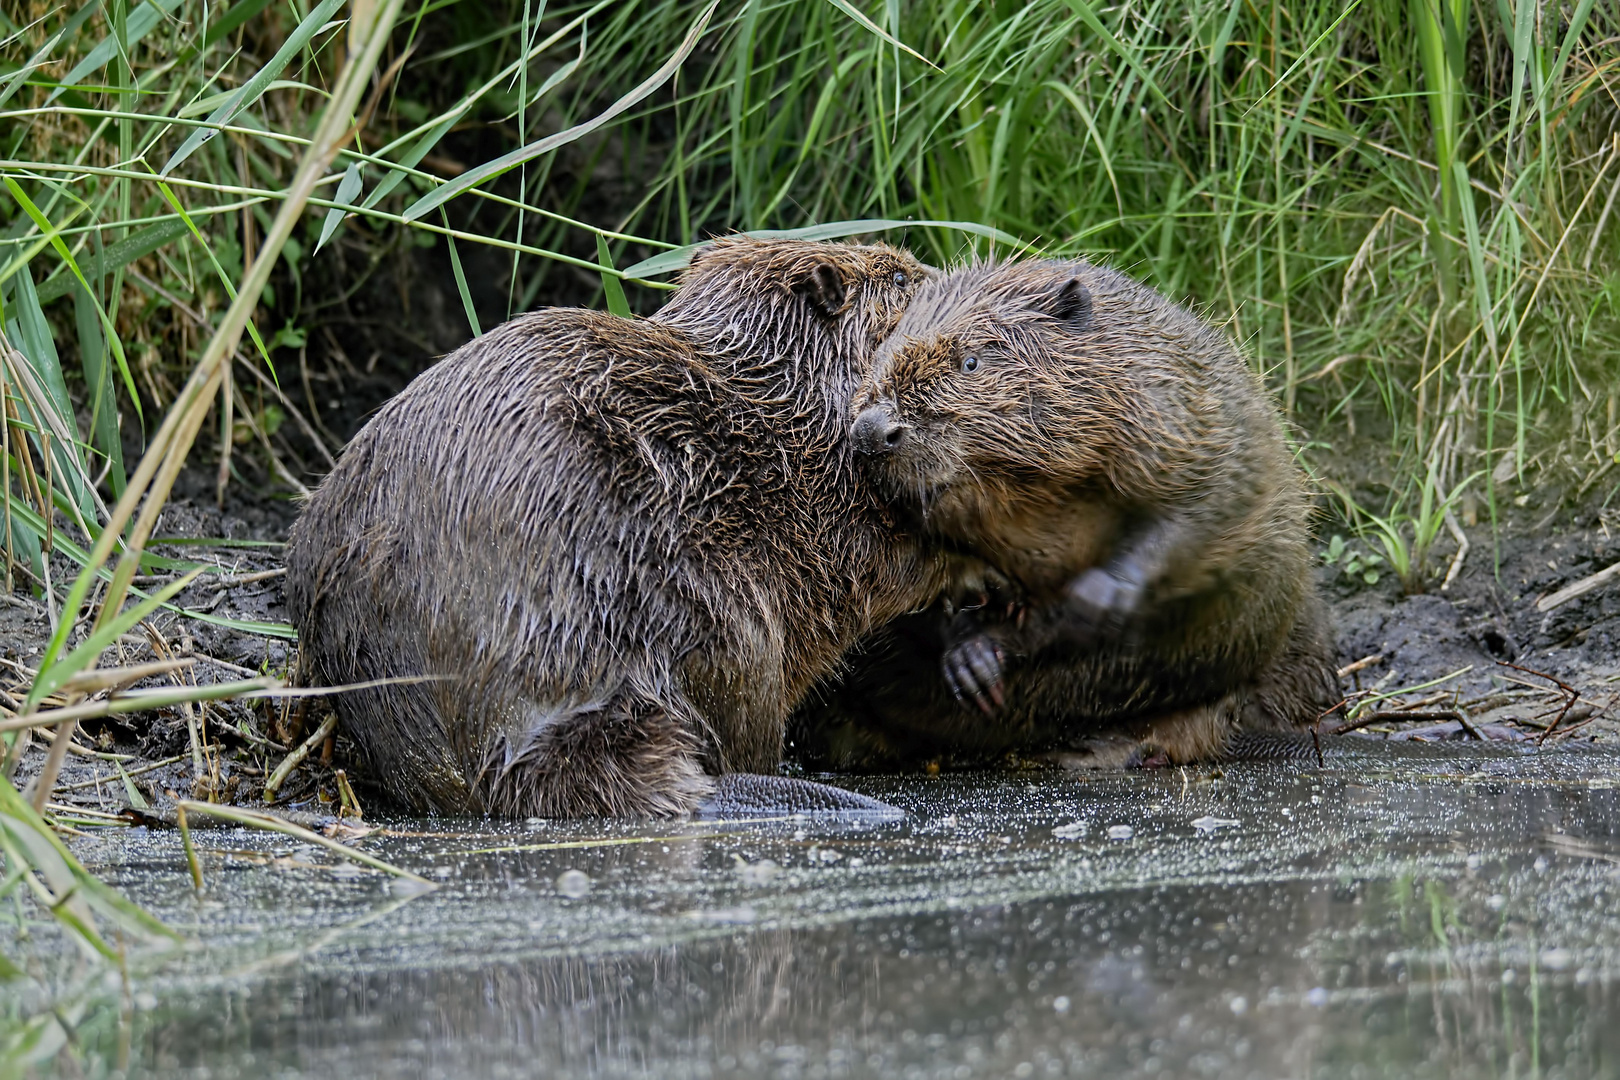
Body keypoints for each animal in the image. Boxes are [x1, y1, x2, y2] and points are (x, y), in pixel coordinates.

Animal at [286, 236, 946, 819]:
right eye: (899, 278)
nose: (930, 269)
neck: (780, 384)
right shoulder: (821, 485)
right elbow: (874, 561)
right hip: (716, 622)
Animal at [787, 259, 1341, 773]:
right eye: (877, 354)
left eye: (971, 361)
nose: (872, 430)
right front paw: (971, 658)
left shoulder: (1182, 409)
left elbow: (1201, 506)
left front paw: (1095, 598)